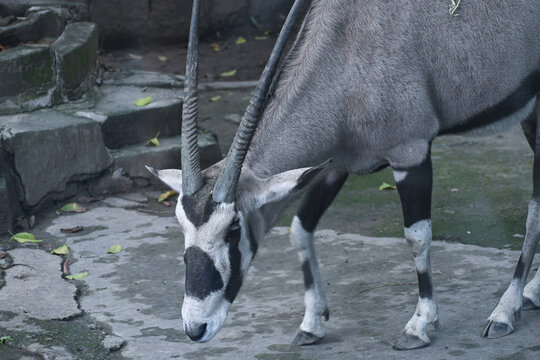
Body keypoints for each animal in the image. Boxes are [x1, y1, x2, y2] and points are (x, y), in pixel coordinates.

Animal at [147, 0, 540, 350]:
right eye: (181, 225)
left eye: (232, 229)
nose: (195, 327)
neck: (348, 46)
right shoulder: (334, 165)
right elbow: (300, 228)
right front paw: (311, 323)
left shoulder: (410, 152)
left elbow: (417, 237)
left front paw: (420, 325)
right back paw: (531, 292)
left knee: (533, 213)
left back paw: (505, 311)